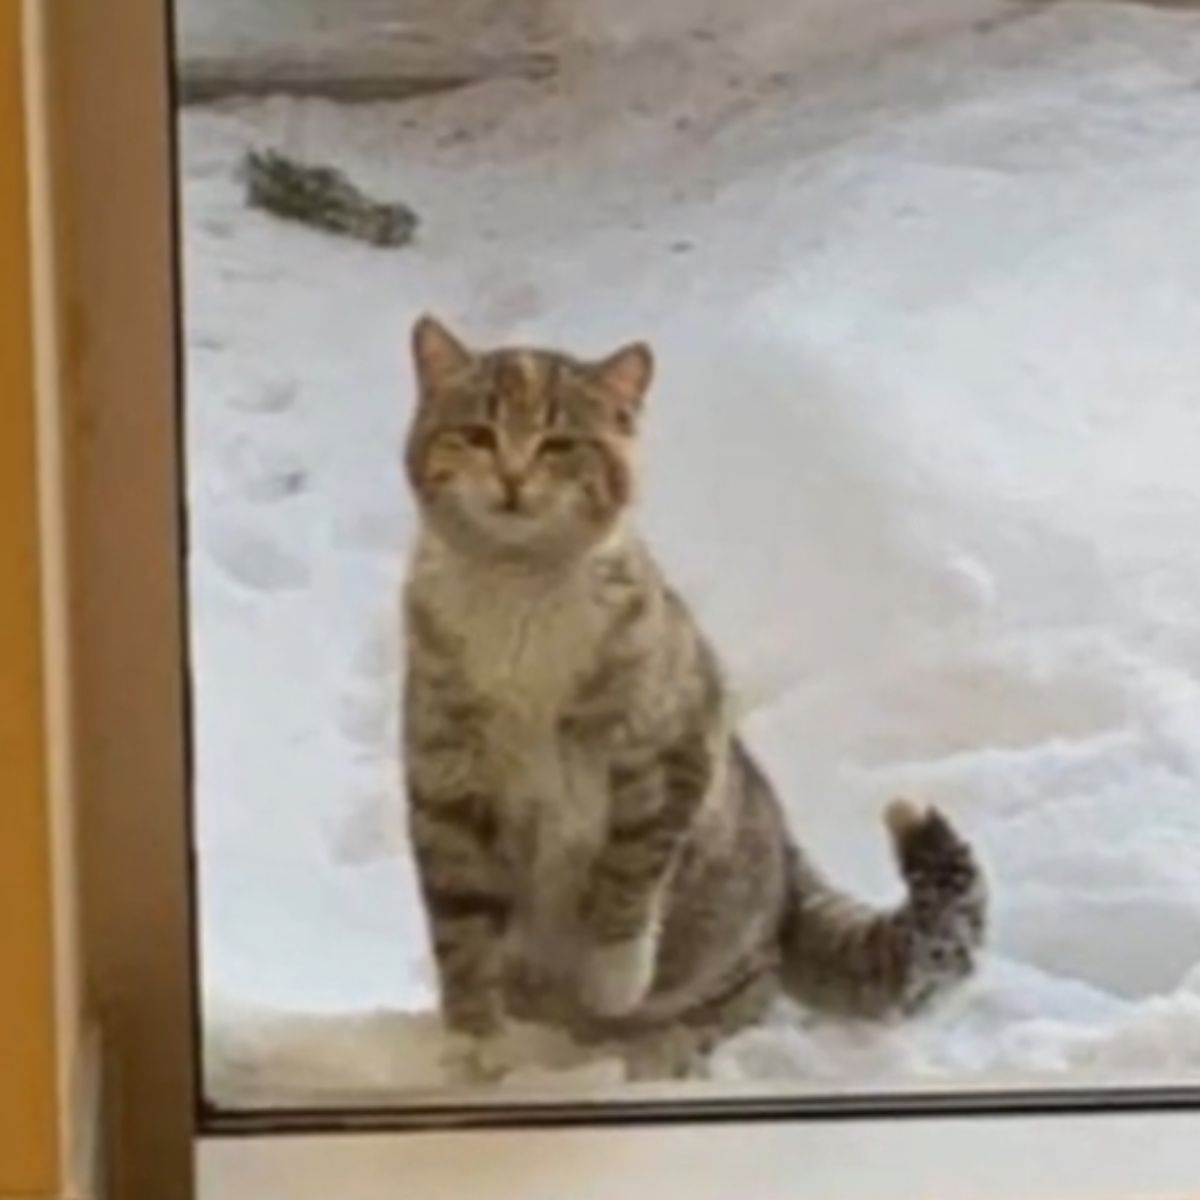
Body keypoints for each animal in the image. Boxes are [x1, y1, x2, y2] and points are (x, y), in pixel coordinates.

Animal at [403, 314, 984, 1084]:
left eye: (559, 443)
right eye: (476, 433)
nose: (513, 476)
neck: (520, 592)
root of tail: (789, 863)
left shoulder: (671, 743)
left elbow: (629, 872)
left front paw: (613, 976)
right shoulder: (446, 782)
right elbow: (461, 925)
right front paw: (474, 1042)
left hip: (726, 936)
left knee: (752, 988)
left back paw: (665, 1044)